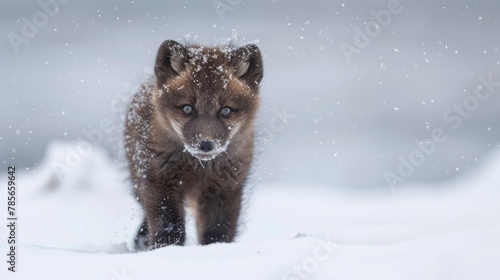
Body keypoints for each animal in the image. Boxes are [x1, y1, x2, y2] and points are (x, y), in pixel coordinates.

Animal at [124, 40, 262, 249]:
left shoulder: (225, 188)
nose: (205, 144)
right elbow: (168, 225)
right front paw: (166, 250)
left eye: (225, 111)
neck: (198, 169)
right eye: (188, 108)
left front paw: (215, 250)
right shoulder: (159, 181)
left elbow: (217, 231)